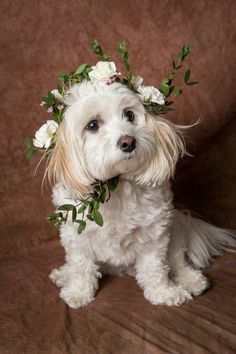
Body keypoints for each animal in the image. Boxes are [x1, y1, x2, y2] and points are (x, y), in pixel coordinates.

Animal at [48, 81, 235, 308]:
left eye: (129, 115)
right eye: (92, 125)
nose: (128, 141)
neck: (117, 187)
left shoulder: (154, 235)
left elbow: (154, 267)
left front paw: (163, 292)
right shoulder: (77, 237)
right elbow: (81, 266)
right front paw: (78, 291)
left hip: (175, 231)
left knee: (176, 262)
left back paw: (191, 280)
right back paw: (64, 274)